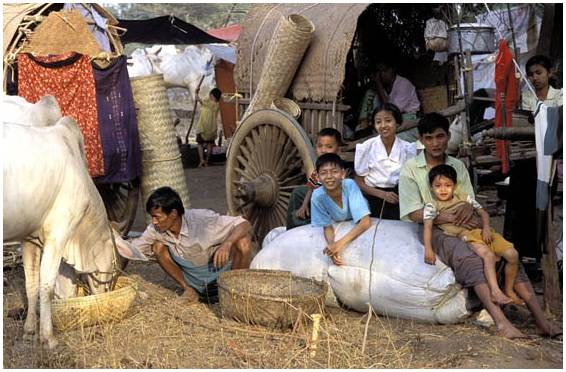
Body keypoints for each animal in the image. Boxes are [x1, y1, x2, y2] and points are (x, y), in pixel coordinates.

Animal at [2, 95, 146, 348]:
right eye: (116, 261)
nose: (106, 290)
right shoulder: (58, 234)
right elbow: (46, 285)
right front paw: (48, 338)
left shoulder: (29, 238)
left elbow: (31, 283)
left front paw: (29, 332)